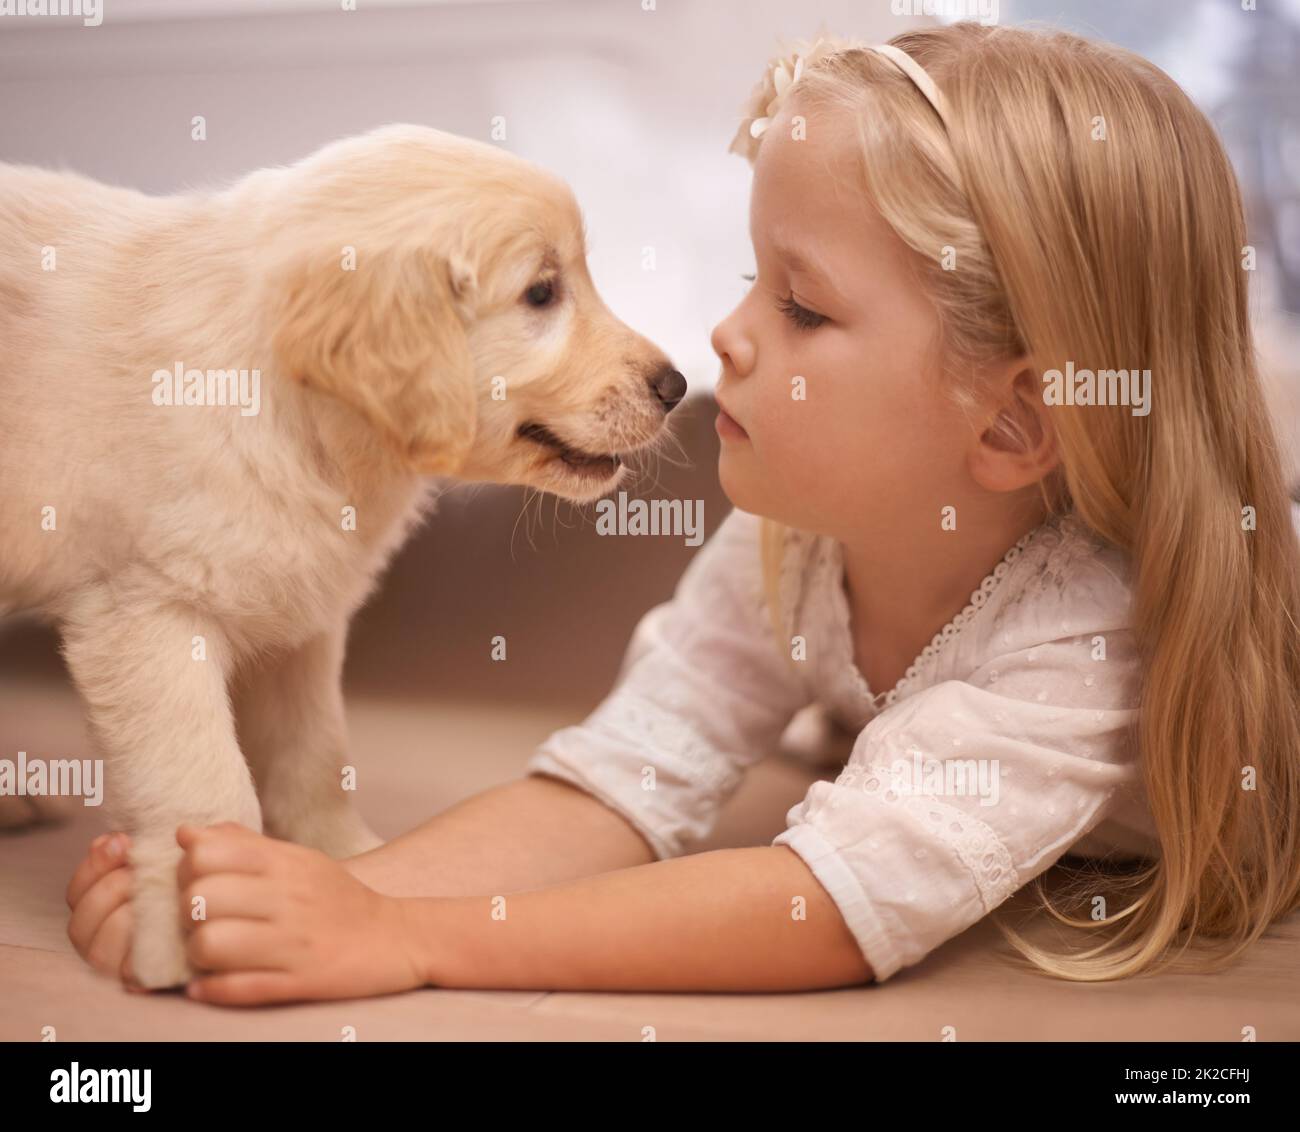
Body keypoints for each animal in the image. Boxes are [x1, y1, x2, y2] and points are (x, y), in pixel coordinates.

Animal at [0, 126, 691, 992]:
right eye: (541, 293)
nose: (678, 385)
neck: (298, 410)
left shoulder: (300, 609)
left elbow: (316, 751)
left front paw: (347, 868)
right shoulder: (148, 610)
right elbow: (200, 775)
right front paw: (184, 932)